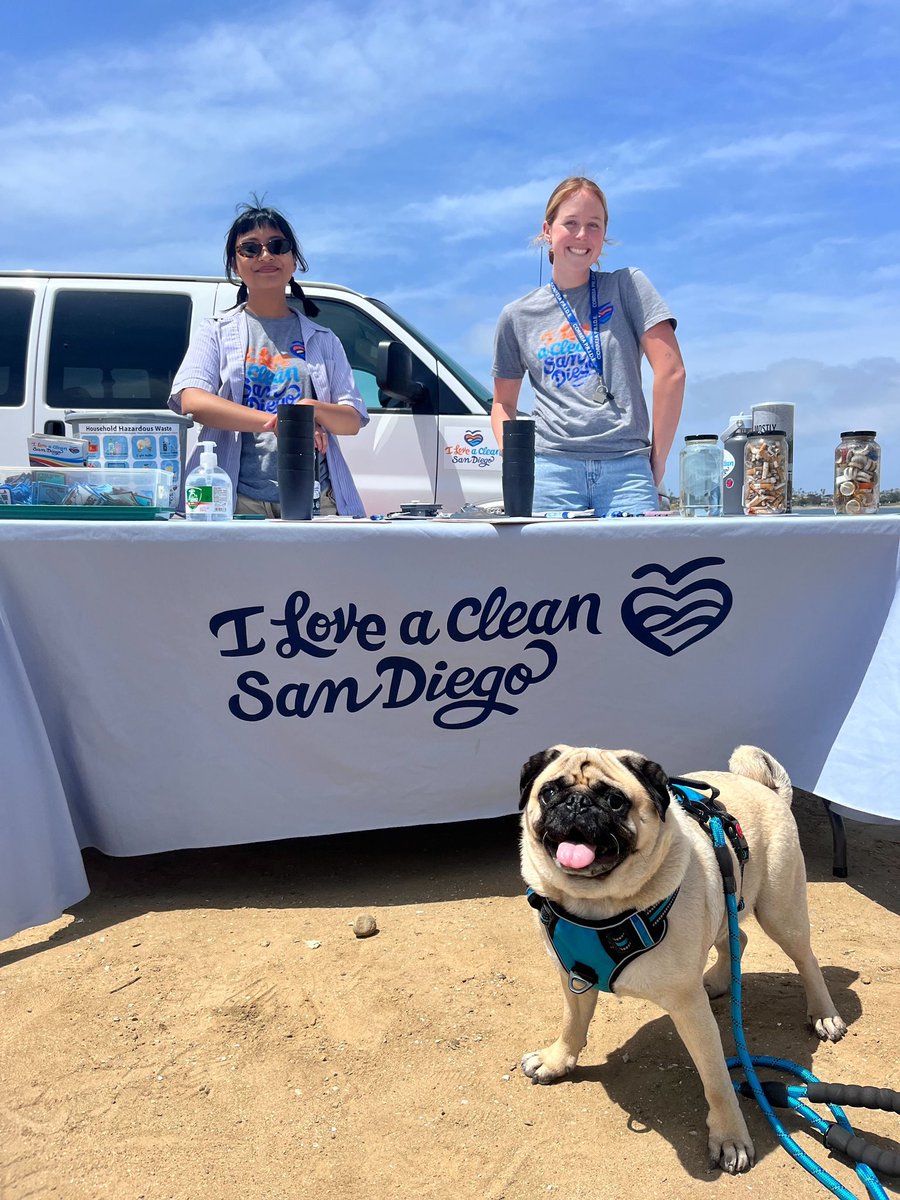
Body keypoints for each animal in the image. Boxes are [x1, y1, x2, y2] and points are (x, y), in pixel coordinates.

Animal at [518, 739, 849, 1171]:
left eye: (614, 801)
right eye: (550, 793)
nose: (576, 802)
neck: (596, 906)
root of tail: (768, 790)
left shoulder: (689, 1009)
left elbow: (717, 1079)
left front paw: (730, 1137)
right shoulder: (573, 976)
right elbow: (573, 1026)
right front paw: (557, 1061)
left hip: (781, 911)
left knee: (806, 960)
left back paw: (824, 1015)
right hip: (728, 901)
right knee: (737, 938)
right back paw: (720, 980)